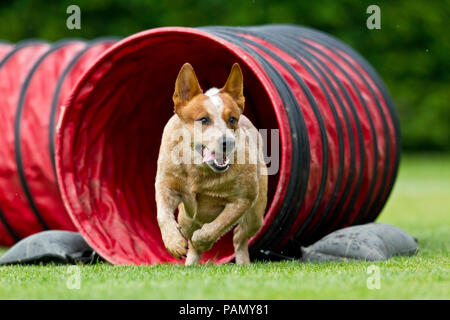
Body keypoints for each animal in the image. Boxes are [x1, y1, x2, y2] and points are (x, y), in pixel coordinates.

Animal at [156, 62, 268, 264]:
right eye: (203, 119)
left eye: (232, 119)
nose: (227, 142)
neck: (198, 172)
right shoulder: (165, 185)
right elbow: (162, 214)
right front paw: (174, 243)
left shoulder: (243, 199)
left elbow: (215, 227)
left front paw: (201, 240)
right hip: (186, 218)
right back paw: (190, 263)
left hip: (256, 214)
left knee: (239, 236)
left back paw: (243, 263)